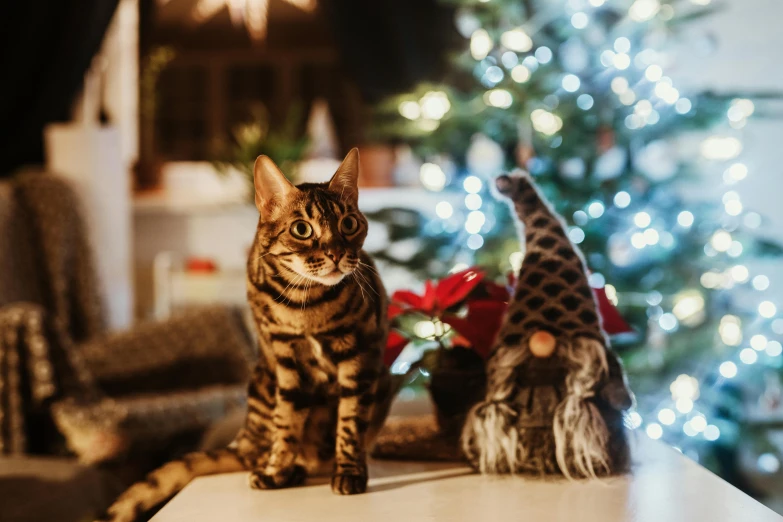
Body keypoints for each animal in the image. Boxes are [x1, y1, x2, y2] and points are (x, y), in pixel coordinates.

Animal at [98, 147, 392, 520]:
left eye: (349, 224)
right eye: (302, 229)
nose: (337, 254)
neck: (306, 305)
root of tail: (244, 439)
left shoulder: (359, 357)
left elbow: (351, 422)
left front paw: (350, 472)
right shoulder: (287, 360)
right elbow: (286, 423)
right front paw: (277, 470)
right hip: (264, 381)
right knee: (270, 446)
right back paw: (288, 468)